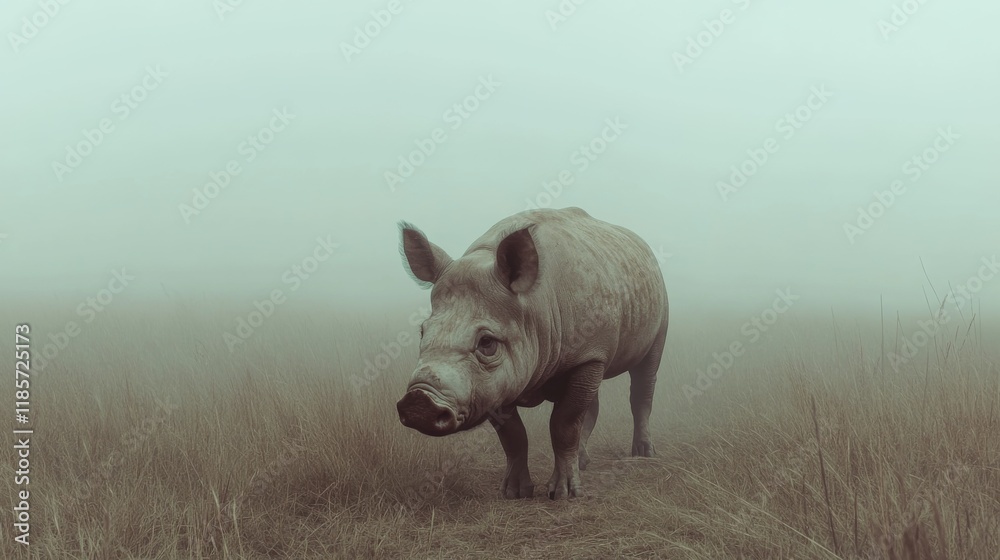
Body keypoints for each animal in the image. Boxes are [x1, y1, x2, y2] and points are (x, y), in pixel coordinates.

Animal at [395, 207, 668, 499]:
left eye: (487, 343)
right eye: (422, 332)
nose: (419, 403)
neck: (532, 306)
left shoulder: (588, 353)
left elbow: (564, 423)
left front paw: (564, 494)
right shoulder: (497, 382)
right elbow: (513, 435)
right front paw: (515, 492)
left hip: (658, 300)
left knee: (645, 374)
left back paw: (643, 453)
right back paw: (583, 461)